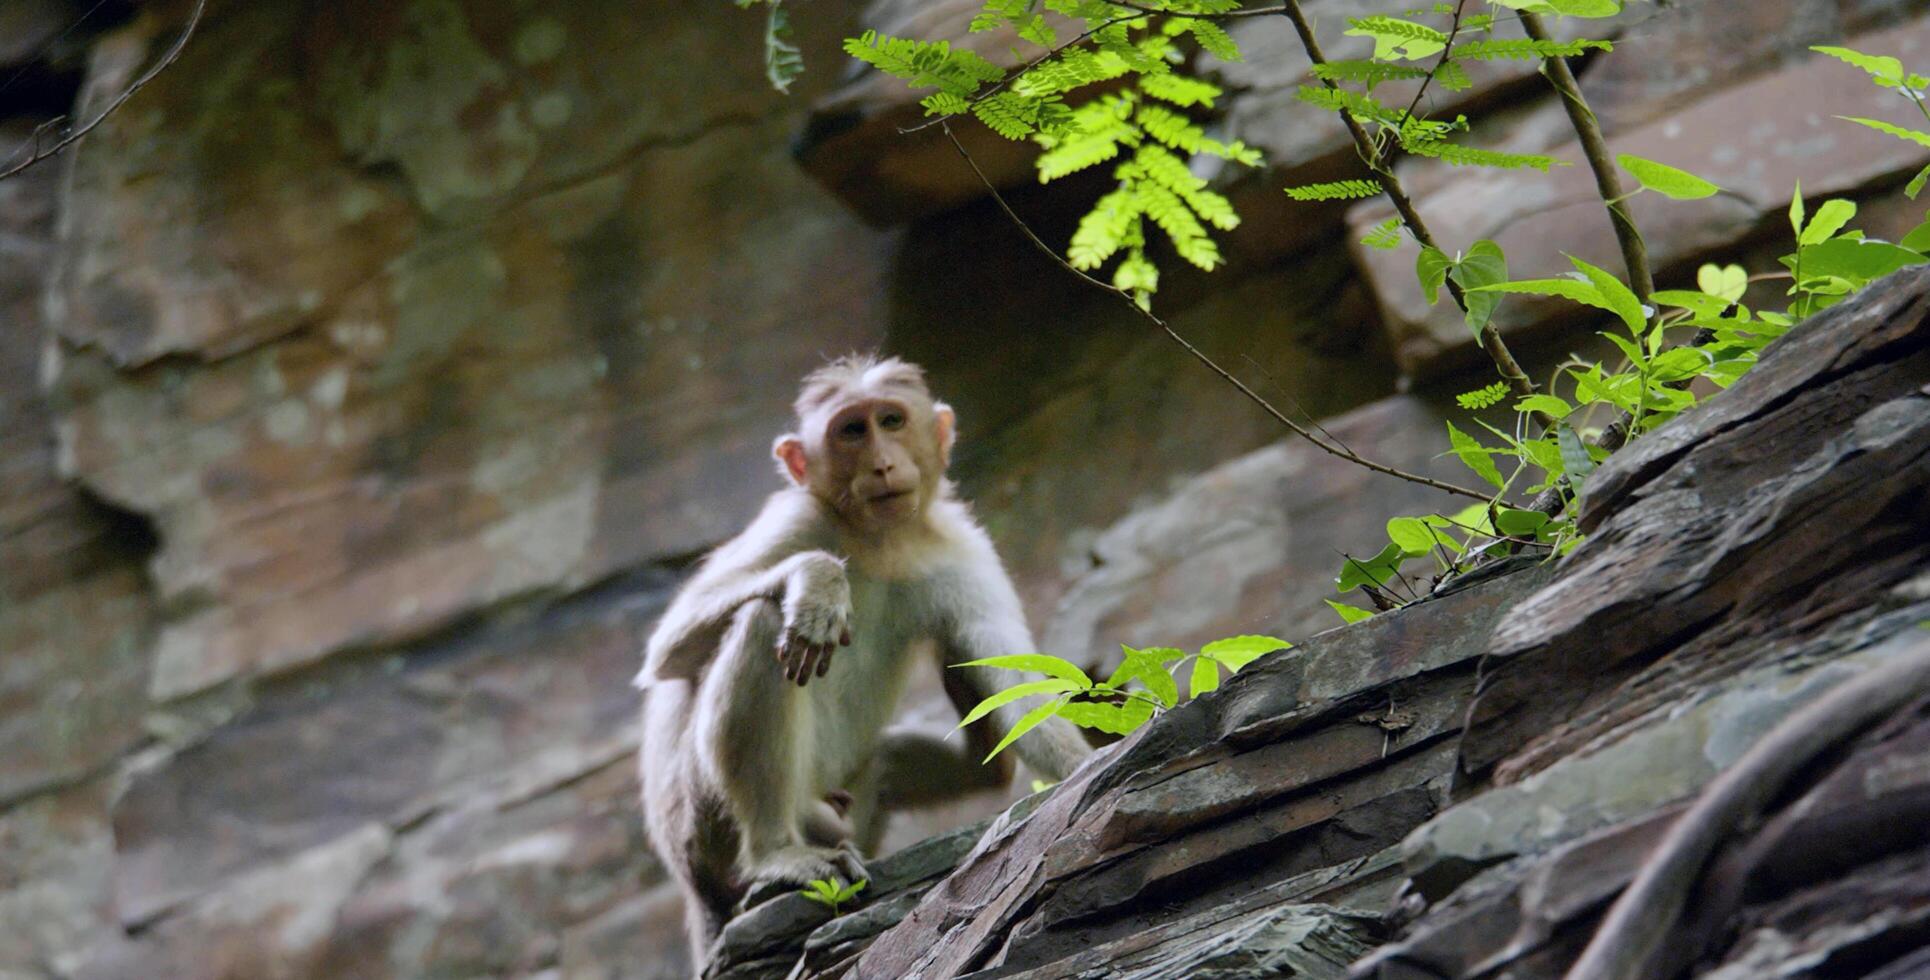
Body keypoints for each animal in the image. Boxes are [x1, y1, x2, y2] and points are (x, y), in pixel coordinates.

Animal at [633, 354, 1088, 972]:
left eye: (891, 420)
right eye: (851, 431)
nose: (882, 462)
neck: (876, 538)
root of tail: (692, 886)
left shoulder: (960, 552)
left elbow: (1016, 687)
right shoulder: (796, 517)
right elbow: (670, 650)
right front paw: (819, 582)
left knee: (896, 763)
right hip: (703, 829)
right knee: (761, 622)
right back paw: (776, 852)